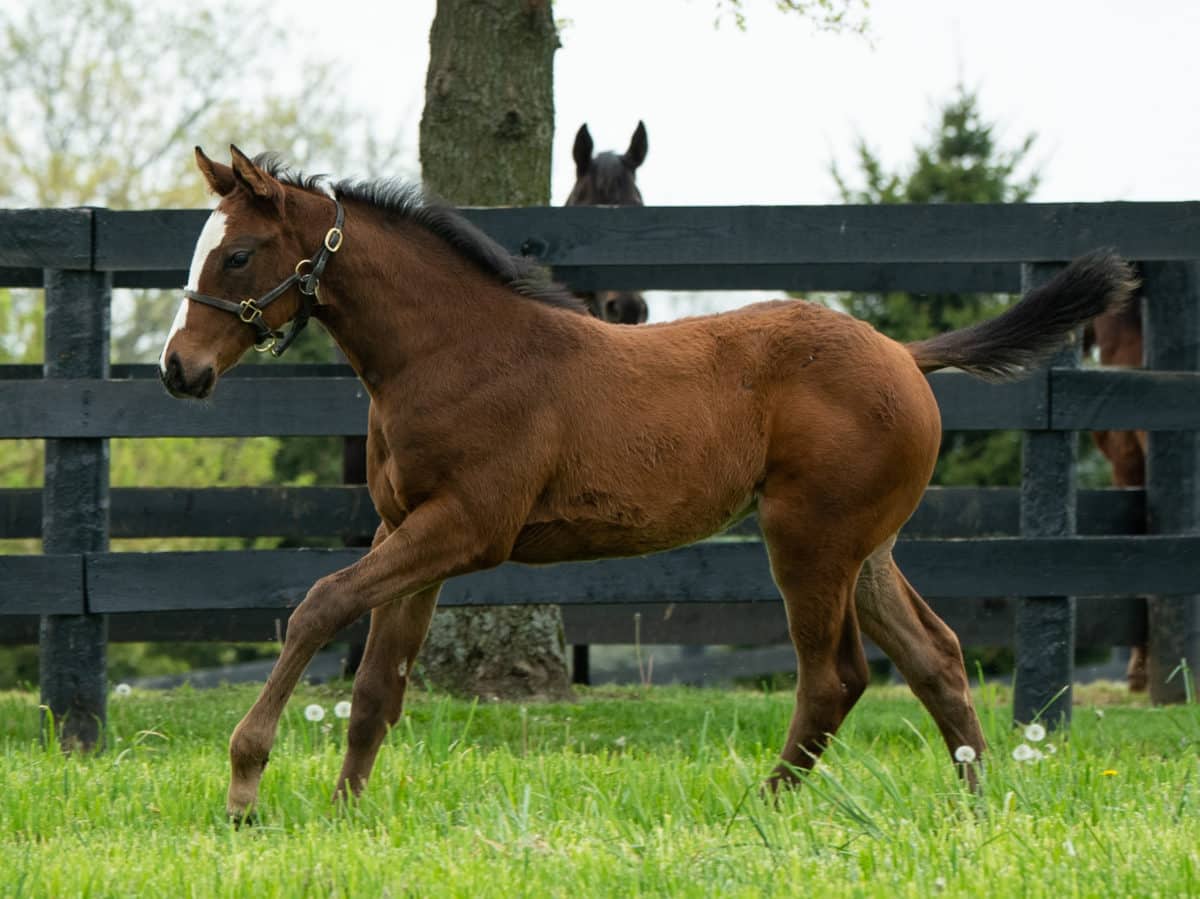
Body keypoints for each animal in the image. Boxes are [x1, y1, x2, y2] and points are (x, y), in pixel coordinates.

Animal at [159, 144, 1132, 816]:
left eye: (238, 256)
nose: (179, 369)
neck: (455, 349)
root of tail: (903, 353)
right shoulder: (408, 528)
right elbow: (374, 685)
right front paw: (345, 810)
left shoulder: (467, 527)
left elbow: (320, 604)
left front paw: (245, 784)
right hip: (867, 547)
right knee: (938, 657)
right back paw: (977, 808)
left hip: (809, 540)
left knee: (835, 676)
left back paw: (758, 809)